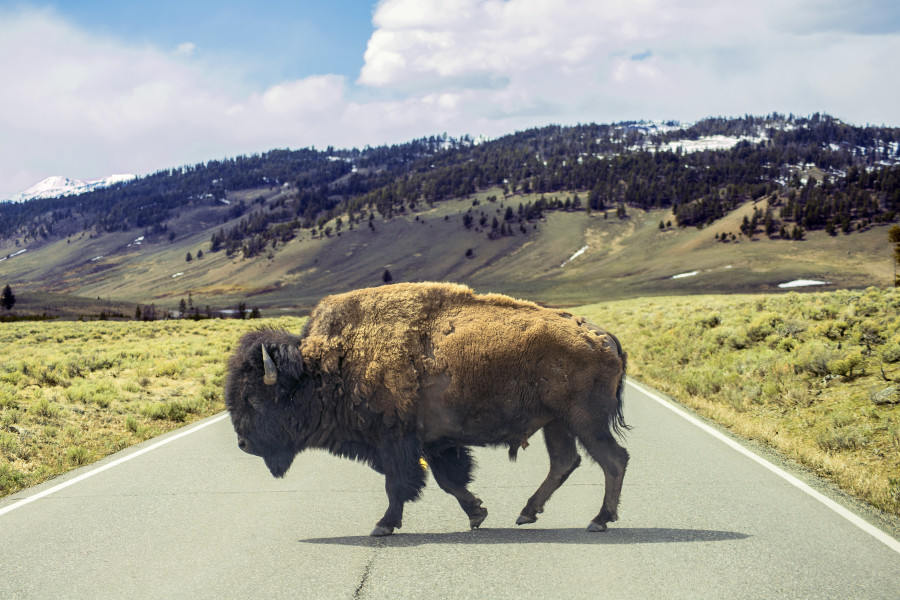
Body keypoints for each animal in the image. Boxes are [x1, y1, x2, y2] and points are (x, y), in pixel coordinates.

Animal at [223, 284, 624, 536]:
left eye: (254, 399)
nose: (243, 443)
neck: (330, 363)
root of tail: (602, 336)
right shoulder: (433, 442)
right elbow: (448, 481)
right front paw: (477, 514)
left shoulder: (394, 441)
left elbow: (398, 483)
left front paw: (383, 526)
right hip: (557, 423)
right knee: (565, 462)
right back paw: (527, 514)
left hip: (584, 420)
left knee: (613, 459)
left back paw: (599, 520)